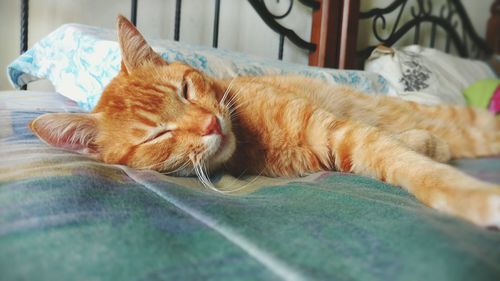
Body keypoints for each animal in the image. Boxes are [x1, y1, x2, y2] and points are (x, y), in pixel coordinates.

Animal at [28, 15, 500, 226]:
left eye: (185, 89)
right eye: (157, 135)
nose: (209, 126)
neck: (252, 140)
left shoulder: (335, 129)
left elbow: (406, 162)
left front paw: (470, 195)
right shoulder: (336, 149)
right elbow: (390, 152)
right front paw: (429, 151)